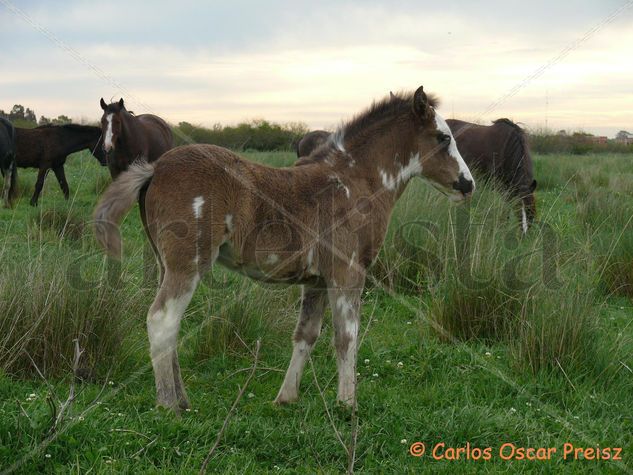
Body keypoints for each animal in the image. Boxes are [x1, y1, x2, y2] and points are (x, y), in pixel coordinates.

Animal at [91, 86, 472, 412]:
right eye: (443, 138)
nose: (467, 184)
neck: (355, 184)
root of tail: (155, 168)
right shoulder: (348, 272)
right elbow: (346, 337)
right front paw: (348, 405)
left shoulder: (316, 281)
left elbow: (306, 335)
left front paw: (286, 398)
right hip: (188, 263)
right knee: (162, 320)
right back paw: (168, 405)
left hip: (164, 262)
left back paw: (182, 399)